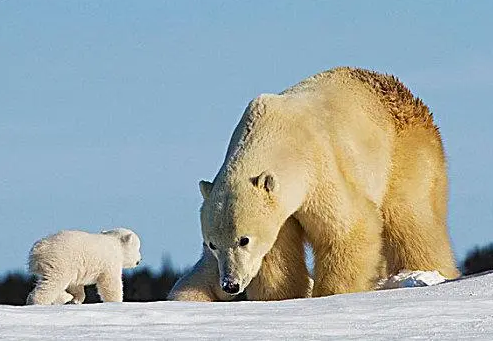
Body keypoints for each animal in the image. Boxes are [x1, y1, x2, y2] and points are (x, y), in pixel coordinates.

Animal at [168, 66, 458, 300]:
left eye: (243, 240)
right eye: (212, 244)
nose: (230, 284)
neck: (279, 138)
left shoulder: (320, 167)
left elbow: (347, 229)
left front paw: (331, 293)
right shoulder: (282, 212)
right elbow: (277, 256)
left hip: (404, 154)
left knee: (412, 218)